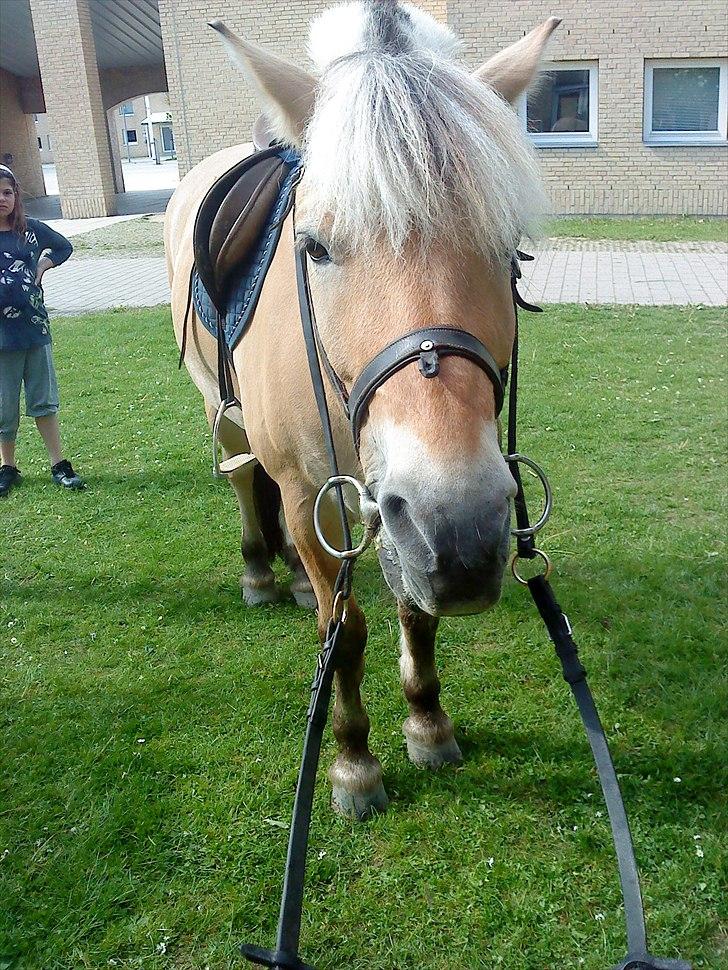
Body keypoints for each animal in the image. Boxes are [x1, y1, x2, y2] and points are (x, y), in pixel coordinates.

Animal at [165, 1, 560, 816]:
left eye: (508, 245)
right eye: (314, 247)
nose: (462, 529)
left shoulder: (404, 513)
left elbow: (414, 608)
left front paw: (428, 722)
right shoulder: (312, 490)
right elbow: (342, 631)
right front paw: (351, 762)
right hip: (220, 407)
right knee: (244, 478)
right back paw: (262, 572)